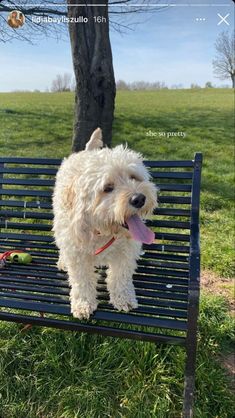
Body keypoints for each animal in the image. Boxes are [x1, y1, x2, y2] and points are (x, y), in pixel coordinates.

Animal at [52, 129, 157, 318]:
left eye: (134, 177)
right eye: (107, 188)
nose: (139, 198)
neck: (103, 229)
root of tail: (86, 152)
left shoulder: (125, 252)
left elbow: (120, 277)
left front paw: (123, 298)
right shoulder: (77, 255)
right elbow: (82, 281)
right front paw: (83, 303)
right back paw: (63, 261)